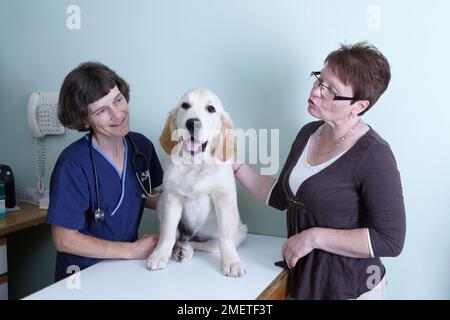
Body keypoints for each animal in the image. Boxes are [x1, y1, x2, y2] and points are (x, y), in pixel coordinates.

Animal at [147, 88, 246, 278]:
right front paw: (159, 254)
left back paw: (185, 250)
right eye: (185, 105)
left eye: (211, 109)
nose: (192, 123)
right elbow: (167, 233)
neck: (195, 165)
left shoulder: (224, 198)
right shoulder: (172, 198)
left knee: (203, 244)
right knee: (178, 237)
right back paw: (179, 250)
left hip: (239, 232)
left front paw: (232, 262)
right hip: (162, 202)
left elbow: (225, 238)